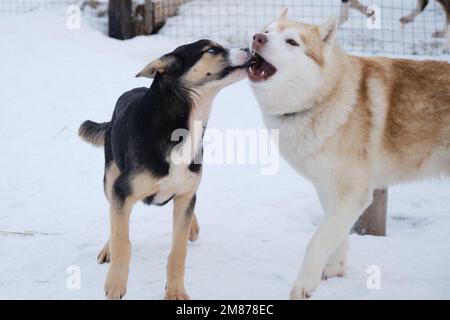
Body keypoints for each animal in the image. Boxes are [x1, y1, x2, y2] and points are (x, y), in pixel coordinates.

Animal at [78, 40, 251, 300]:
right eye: (210, 49)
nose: (251, 48)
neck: (182, 129)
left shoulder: (184, 193)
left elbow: (178, 251)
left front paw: (176, 291)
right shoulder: (122, 192)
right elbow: (122, 242)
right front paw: (115, 285)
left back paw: (192, 225)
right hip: (110, 178)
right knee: (113, 218)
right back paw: (108, 248)